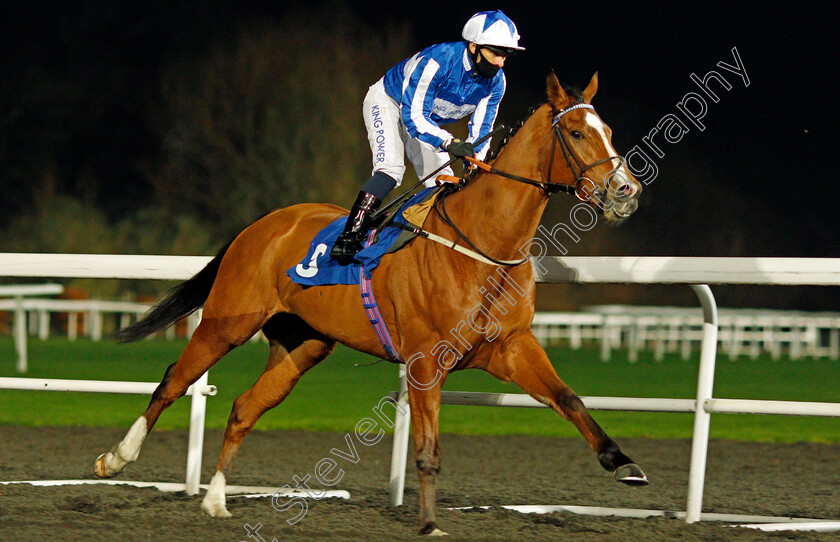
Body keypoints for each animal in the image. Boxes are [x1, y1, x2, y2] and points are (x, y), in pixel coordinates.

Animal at [93, 73, 644, 540]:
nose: (626, 190)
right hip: (229, 321)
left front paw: (622, 462)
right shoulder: (426, 362)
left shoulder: (511, 346)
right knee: (174, 380)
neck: (484, 244)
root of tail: (260, 225)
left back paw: (215, 499)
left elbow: (569, 399)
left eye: (609, 130)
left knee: (244, 407)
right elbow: (427, 451)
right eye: (576, 132)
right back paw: (117, 458)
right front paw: (429, 523)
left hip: (302, 345)